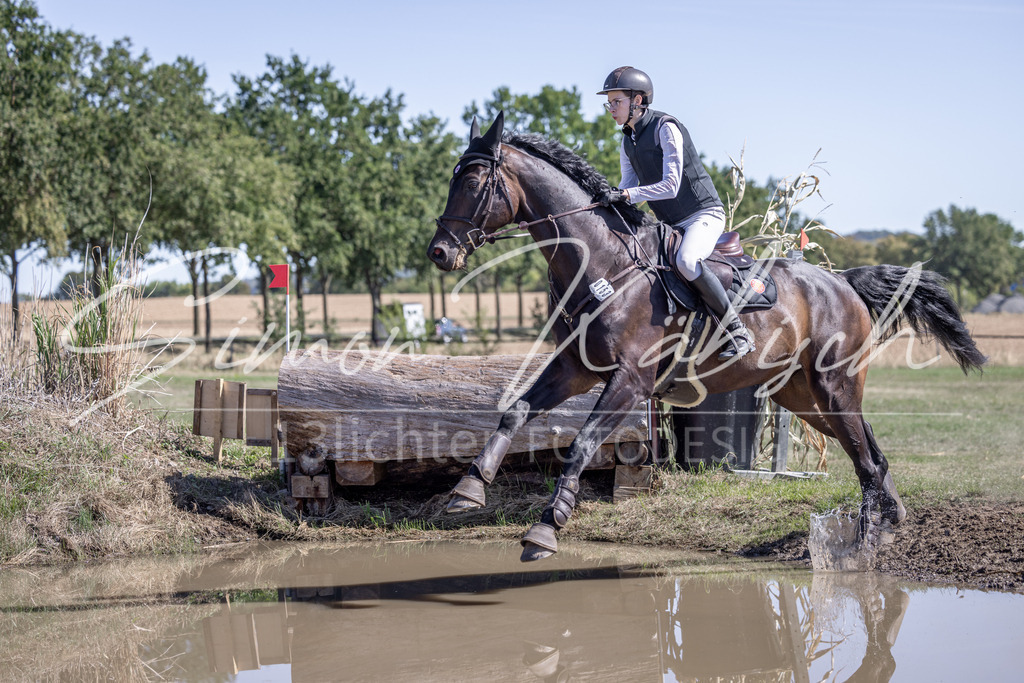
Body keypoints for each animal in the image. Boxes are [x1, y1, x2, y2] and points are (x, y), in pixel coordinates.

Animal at [427, 112, 986, 563]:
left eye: (473, 182)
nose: (439, 252)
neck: (602, 263)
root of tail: (841, 281)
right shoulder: (576, 368)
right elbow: (515, 411)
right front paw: (466, 492)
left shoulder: (630, 380)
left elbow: (582, 442)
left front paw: (546, 528)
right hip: (804, 397)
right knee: (869, 449)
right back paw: (890, 523)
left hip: (834, 385)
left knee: (866, 460)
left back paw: (863, 548)